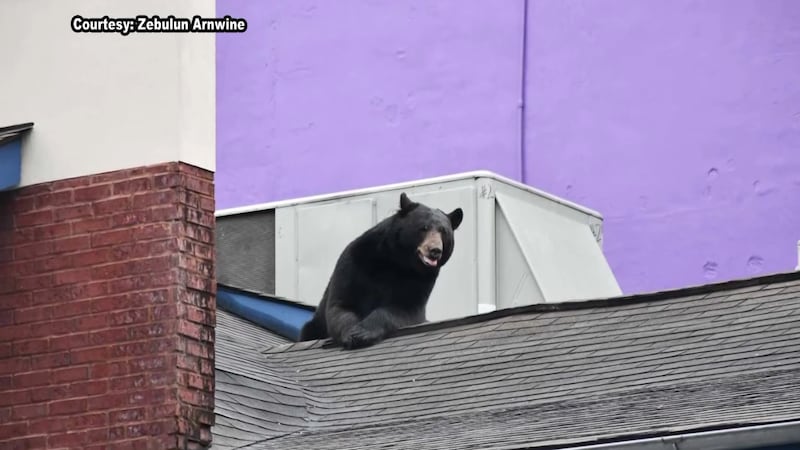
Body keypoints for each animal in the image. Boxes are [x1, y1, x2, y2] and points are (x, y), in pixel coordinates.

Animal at [298, 192, 463, 350]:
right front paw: (352, 333)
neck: (398, 261)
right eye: (424, 227)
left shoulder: (421, 280)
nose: (435, 250)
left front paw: (363, 333)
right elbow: (340, 304)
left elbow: (406, 309)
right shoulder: (354, 261)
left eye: (443, 232)